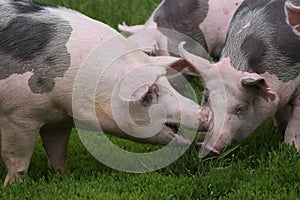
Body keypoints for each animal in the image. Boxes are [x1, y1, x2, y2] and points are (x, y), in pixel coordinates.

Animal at [0, 0, 211, 184]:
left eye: (167, 82)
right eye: (151, 93)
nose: (208, 114)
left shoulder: (58, 120)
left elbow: (57, 151)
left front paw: (61, 176)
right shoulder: (18, 117)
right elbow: (19, 159)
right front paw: (14, 186)